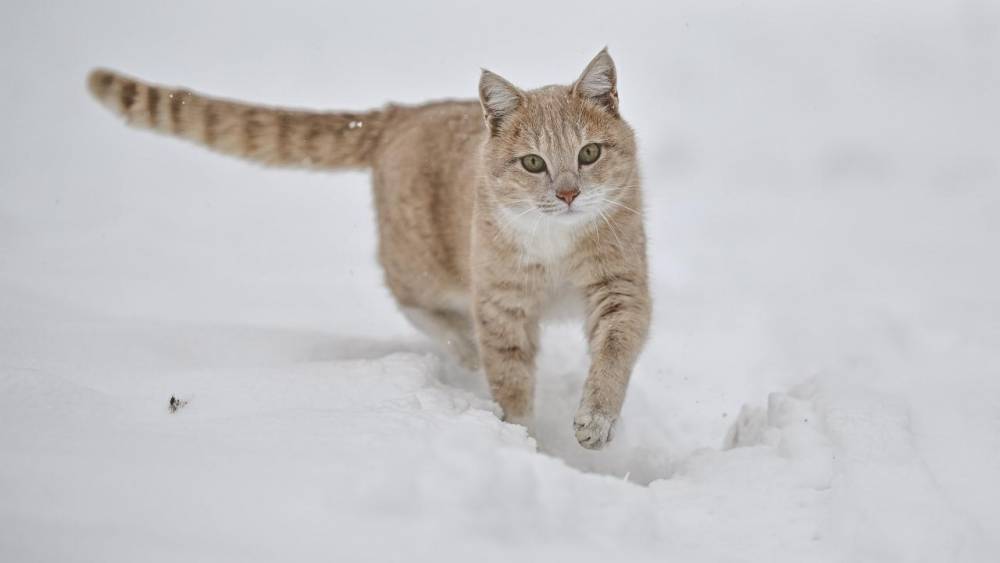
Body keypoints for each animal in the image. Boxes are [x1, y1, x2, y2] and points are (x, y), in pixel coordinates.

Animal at [84, 48, 648, 450]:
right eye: (533, 163)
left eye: (589, 153)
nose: (569, 194)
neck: (556, 245)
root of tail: (401, 113)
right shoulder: (500, 302)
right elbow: (510, 380)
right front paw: (520, 441)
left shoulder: (621, 286)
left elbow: (615, 351)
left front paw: (596, 419)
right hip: (422, 264)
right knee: (411, 299)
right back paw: (463, 347)